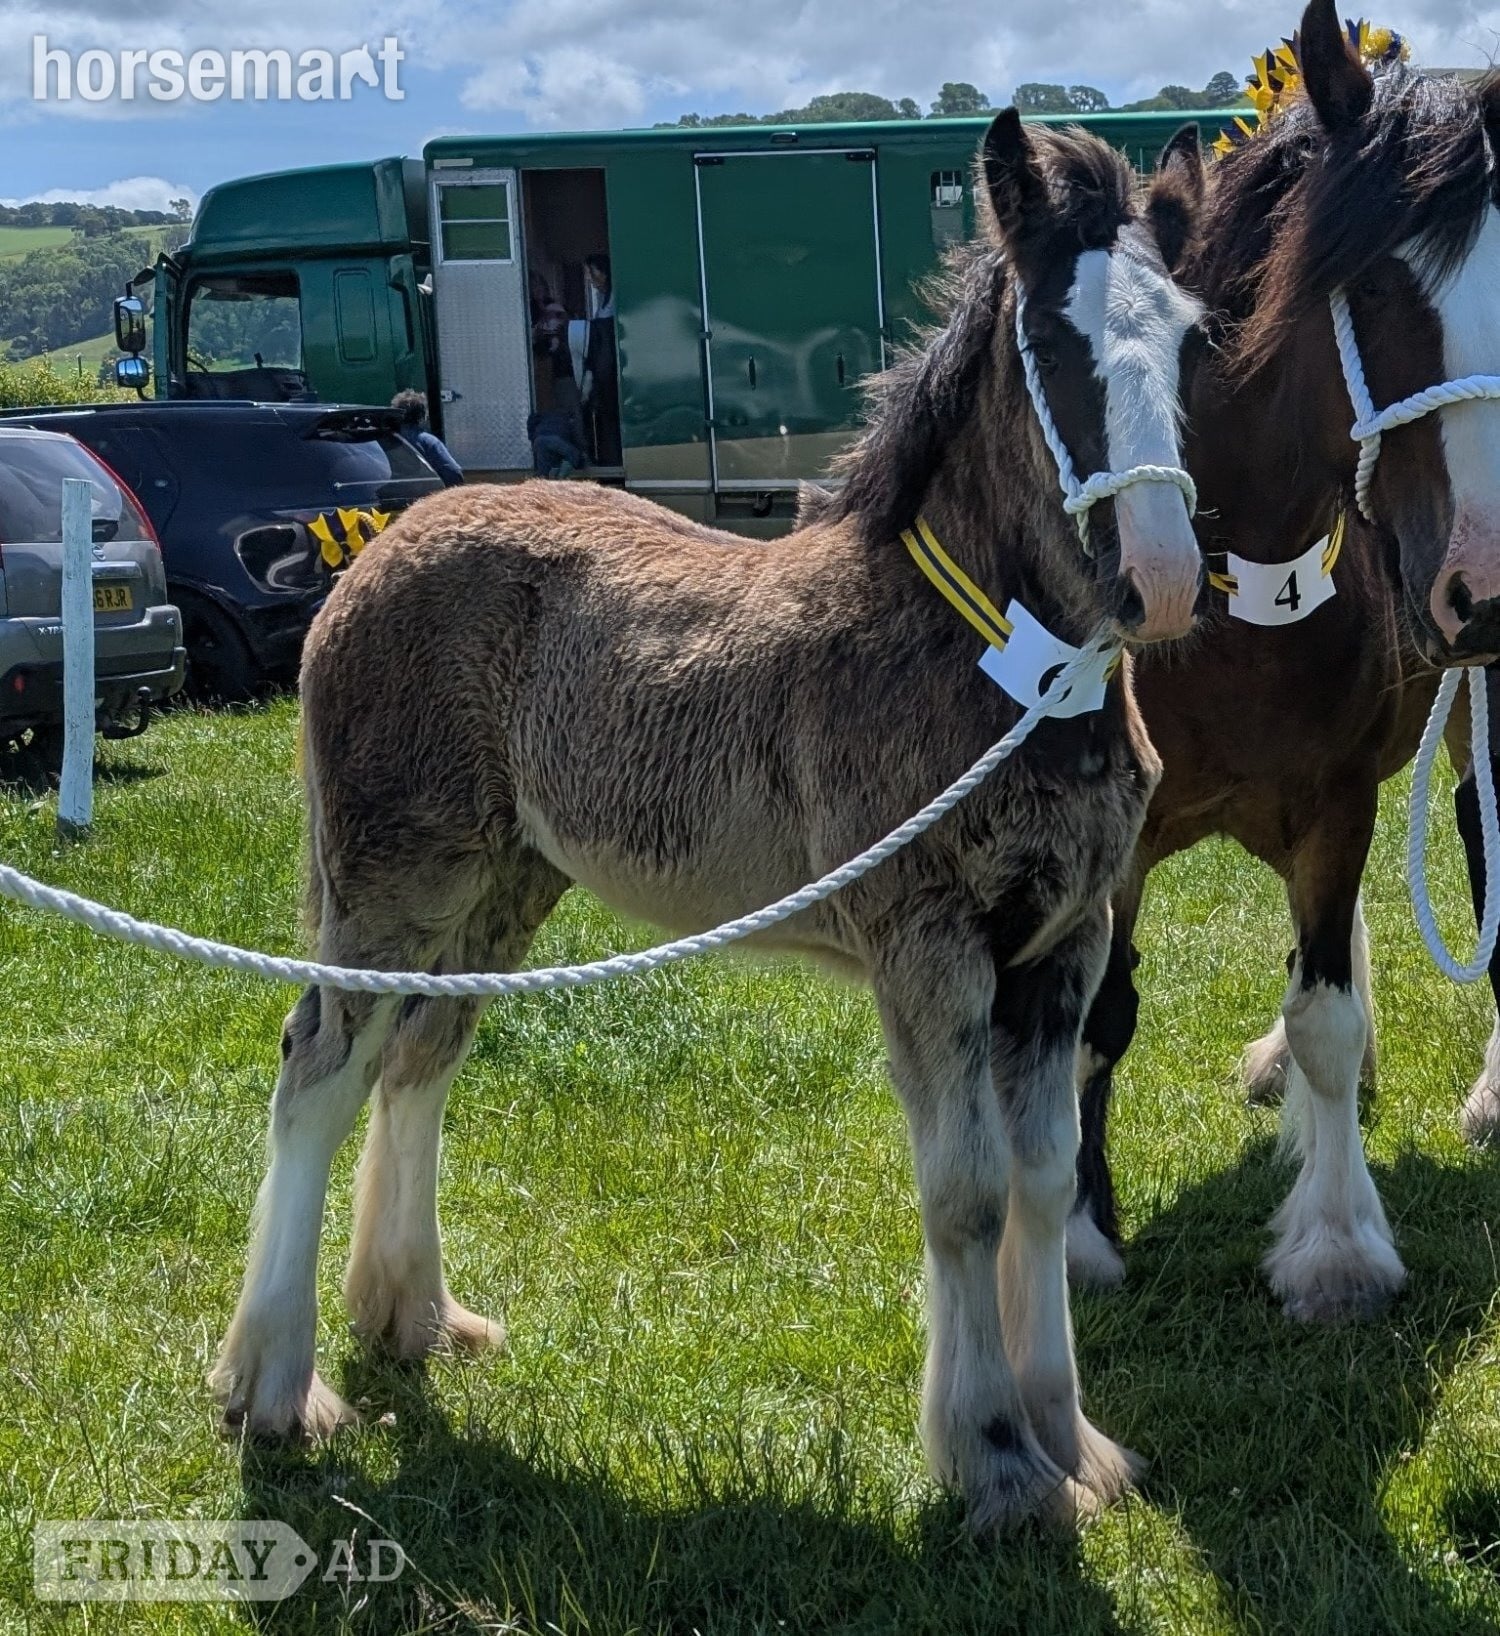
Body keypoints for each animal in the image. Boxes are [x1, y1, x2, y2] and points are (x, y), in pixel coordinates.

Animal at [209, 111, 1207, 1532]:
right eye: (1057, 345)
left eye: (1192, 339)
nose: (1162, 578)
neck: (1002, 671)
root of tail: (378, 546)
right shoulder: (928, 949)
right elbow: (964, 1193)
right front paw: (996, 1461)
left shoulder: (1056, 949)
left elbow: (1043, 1181)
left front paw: (1073, 1442)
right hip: (391, 877)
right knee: (320, 1068)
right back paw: (278, 1386)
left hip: (504, 886)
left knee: (421, 1057)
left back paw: (415, 1319)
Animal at [1066, 0, 1500, 1322]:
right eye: (1371, 284)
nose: (1485, 583)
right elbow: (1099, 1017)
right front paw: (1078, 1232)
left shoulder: (1340, 798)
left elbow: (1330, 1020)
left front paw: (1337, 1243)